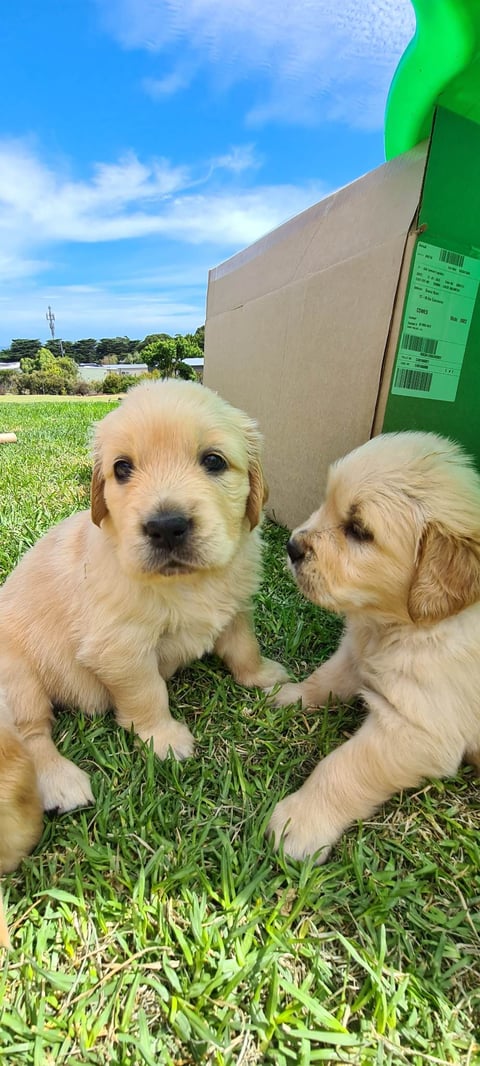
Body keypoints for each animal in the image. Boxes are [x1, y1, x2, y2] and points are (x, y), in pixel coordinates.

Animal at [0, 379, 285, 835]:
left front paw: (261, 677)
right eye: (122, 469)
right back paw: (62, 782)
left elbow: (244, 646)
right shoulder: (121, 648)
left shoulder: (236, 606)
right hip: (17, 678)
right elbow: (149, 694)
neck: (185, 582)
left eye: (213, 461)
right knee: (30, 734)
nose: (166, 526)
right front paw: (164, 739)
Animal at [267, 428, 480, 861]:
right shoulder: (355, 652)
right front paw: (290, 694)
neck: (399, 626)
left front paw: (300, 821)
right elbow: (325, 678)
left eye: (359, 530)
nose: (292, 546)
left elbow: (342, 767)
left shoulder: (416, 729)